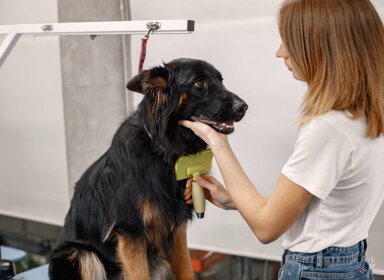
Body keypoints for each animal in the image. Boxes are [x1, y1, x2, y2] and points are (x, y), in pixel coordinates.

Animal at [49, 58, 248, 278]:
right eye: (198, 83)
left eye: (220, 80)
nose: (243, 107)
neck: (162, 150)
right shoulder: (131, 234)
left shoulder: (176, 228)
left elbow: (186, 271)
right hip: (81, 254)